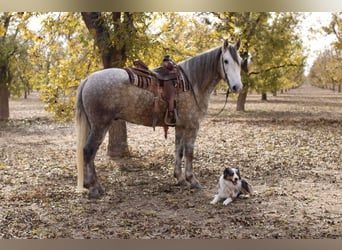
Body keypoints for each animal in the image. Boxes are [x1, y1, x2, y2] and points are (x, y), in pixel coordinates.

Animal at [76, 39, 244, 199]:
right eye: (226, 61)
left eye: (240, 61)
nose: (237, 87)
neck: (191, 83)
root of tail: (88, 79)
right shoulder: (192, 126)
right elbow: (189, 152)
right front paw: (192, 180)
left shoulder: (180, 126)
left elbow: (179, 151)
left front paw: (180, 179)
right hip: (100, 125)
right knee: (89, 151)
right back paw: (94, 188)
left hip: (93, 125)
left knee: (88, 153)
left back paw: (92, 185)